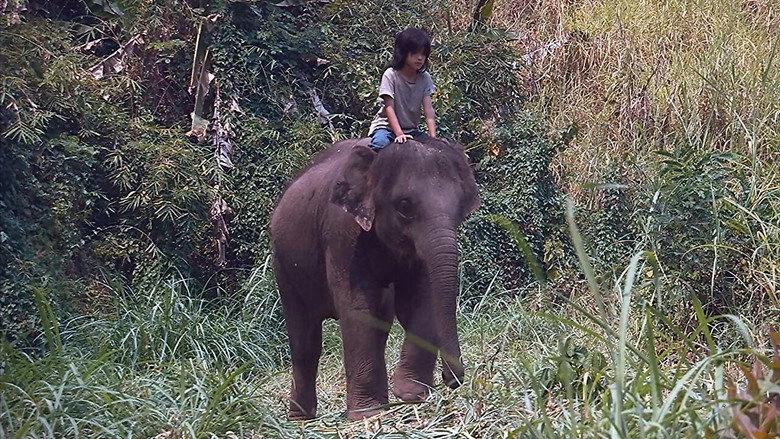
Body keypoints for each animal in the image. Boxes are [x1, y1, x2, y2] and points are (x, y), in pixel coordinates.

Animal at [270, 136, 480, 420]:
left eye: (461, 210)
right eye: (404, 205)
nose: (450, 379)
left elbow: (421, 300)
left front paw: (410, 394)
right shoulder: (342, 232)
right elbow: (359, 308)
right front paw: (368, 414)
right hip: (284, 265)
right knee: (305, 340)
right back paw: (301, 420)